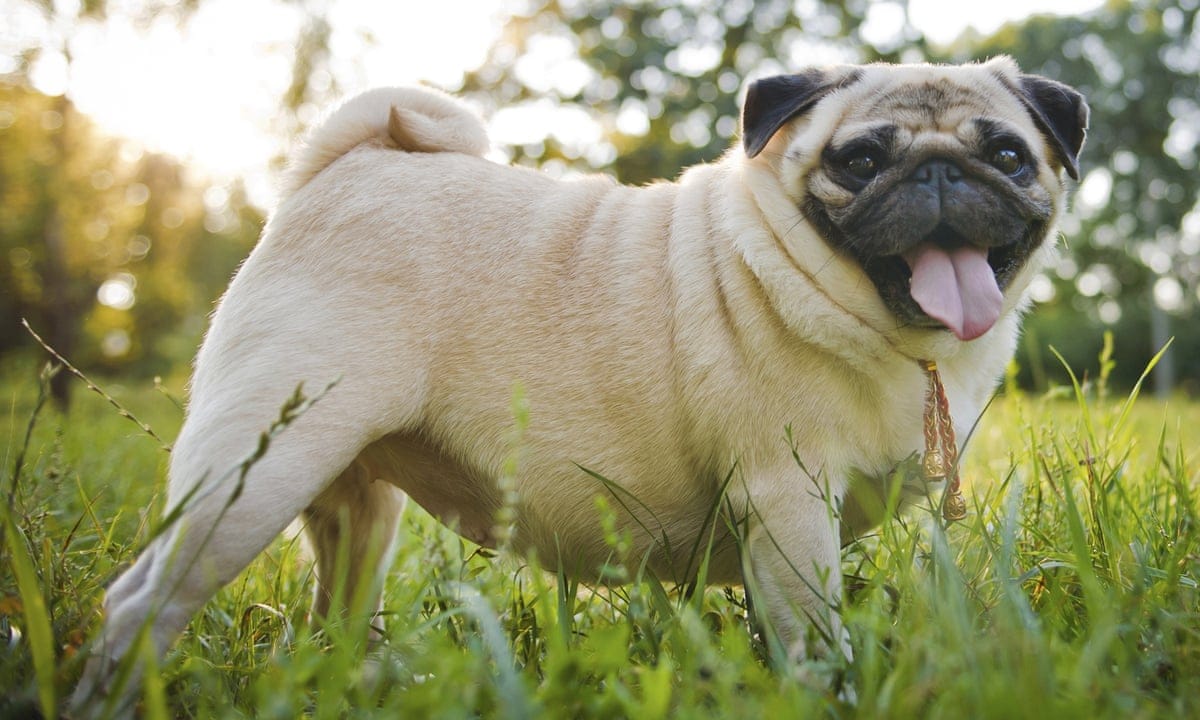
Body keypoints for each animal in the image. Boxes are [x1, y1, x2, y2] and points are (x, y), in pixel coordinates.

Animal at [75, 57, 1089, 715]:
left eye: (1007, 156)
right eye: (862, 161)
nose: (941, 172)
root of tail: (351, 165)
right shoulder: (790, 504)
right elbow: (814, 636)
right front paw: (829, 693)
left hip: (355, 507)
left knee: (333, 611)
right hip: (253, 474)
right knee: (140, 605)